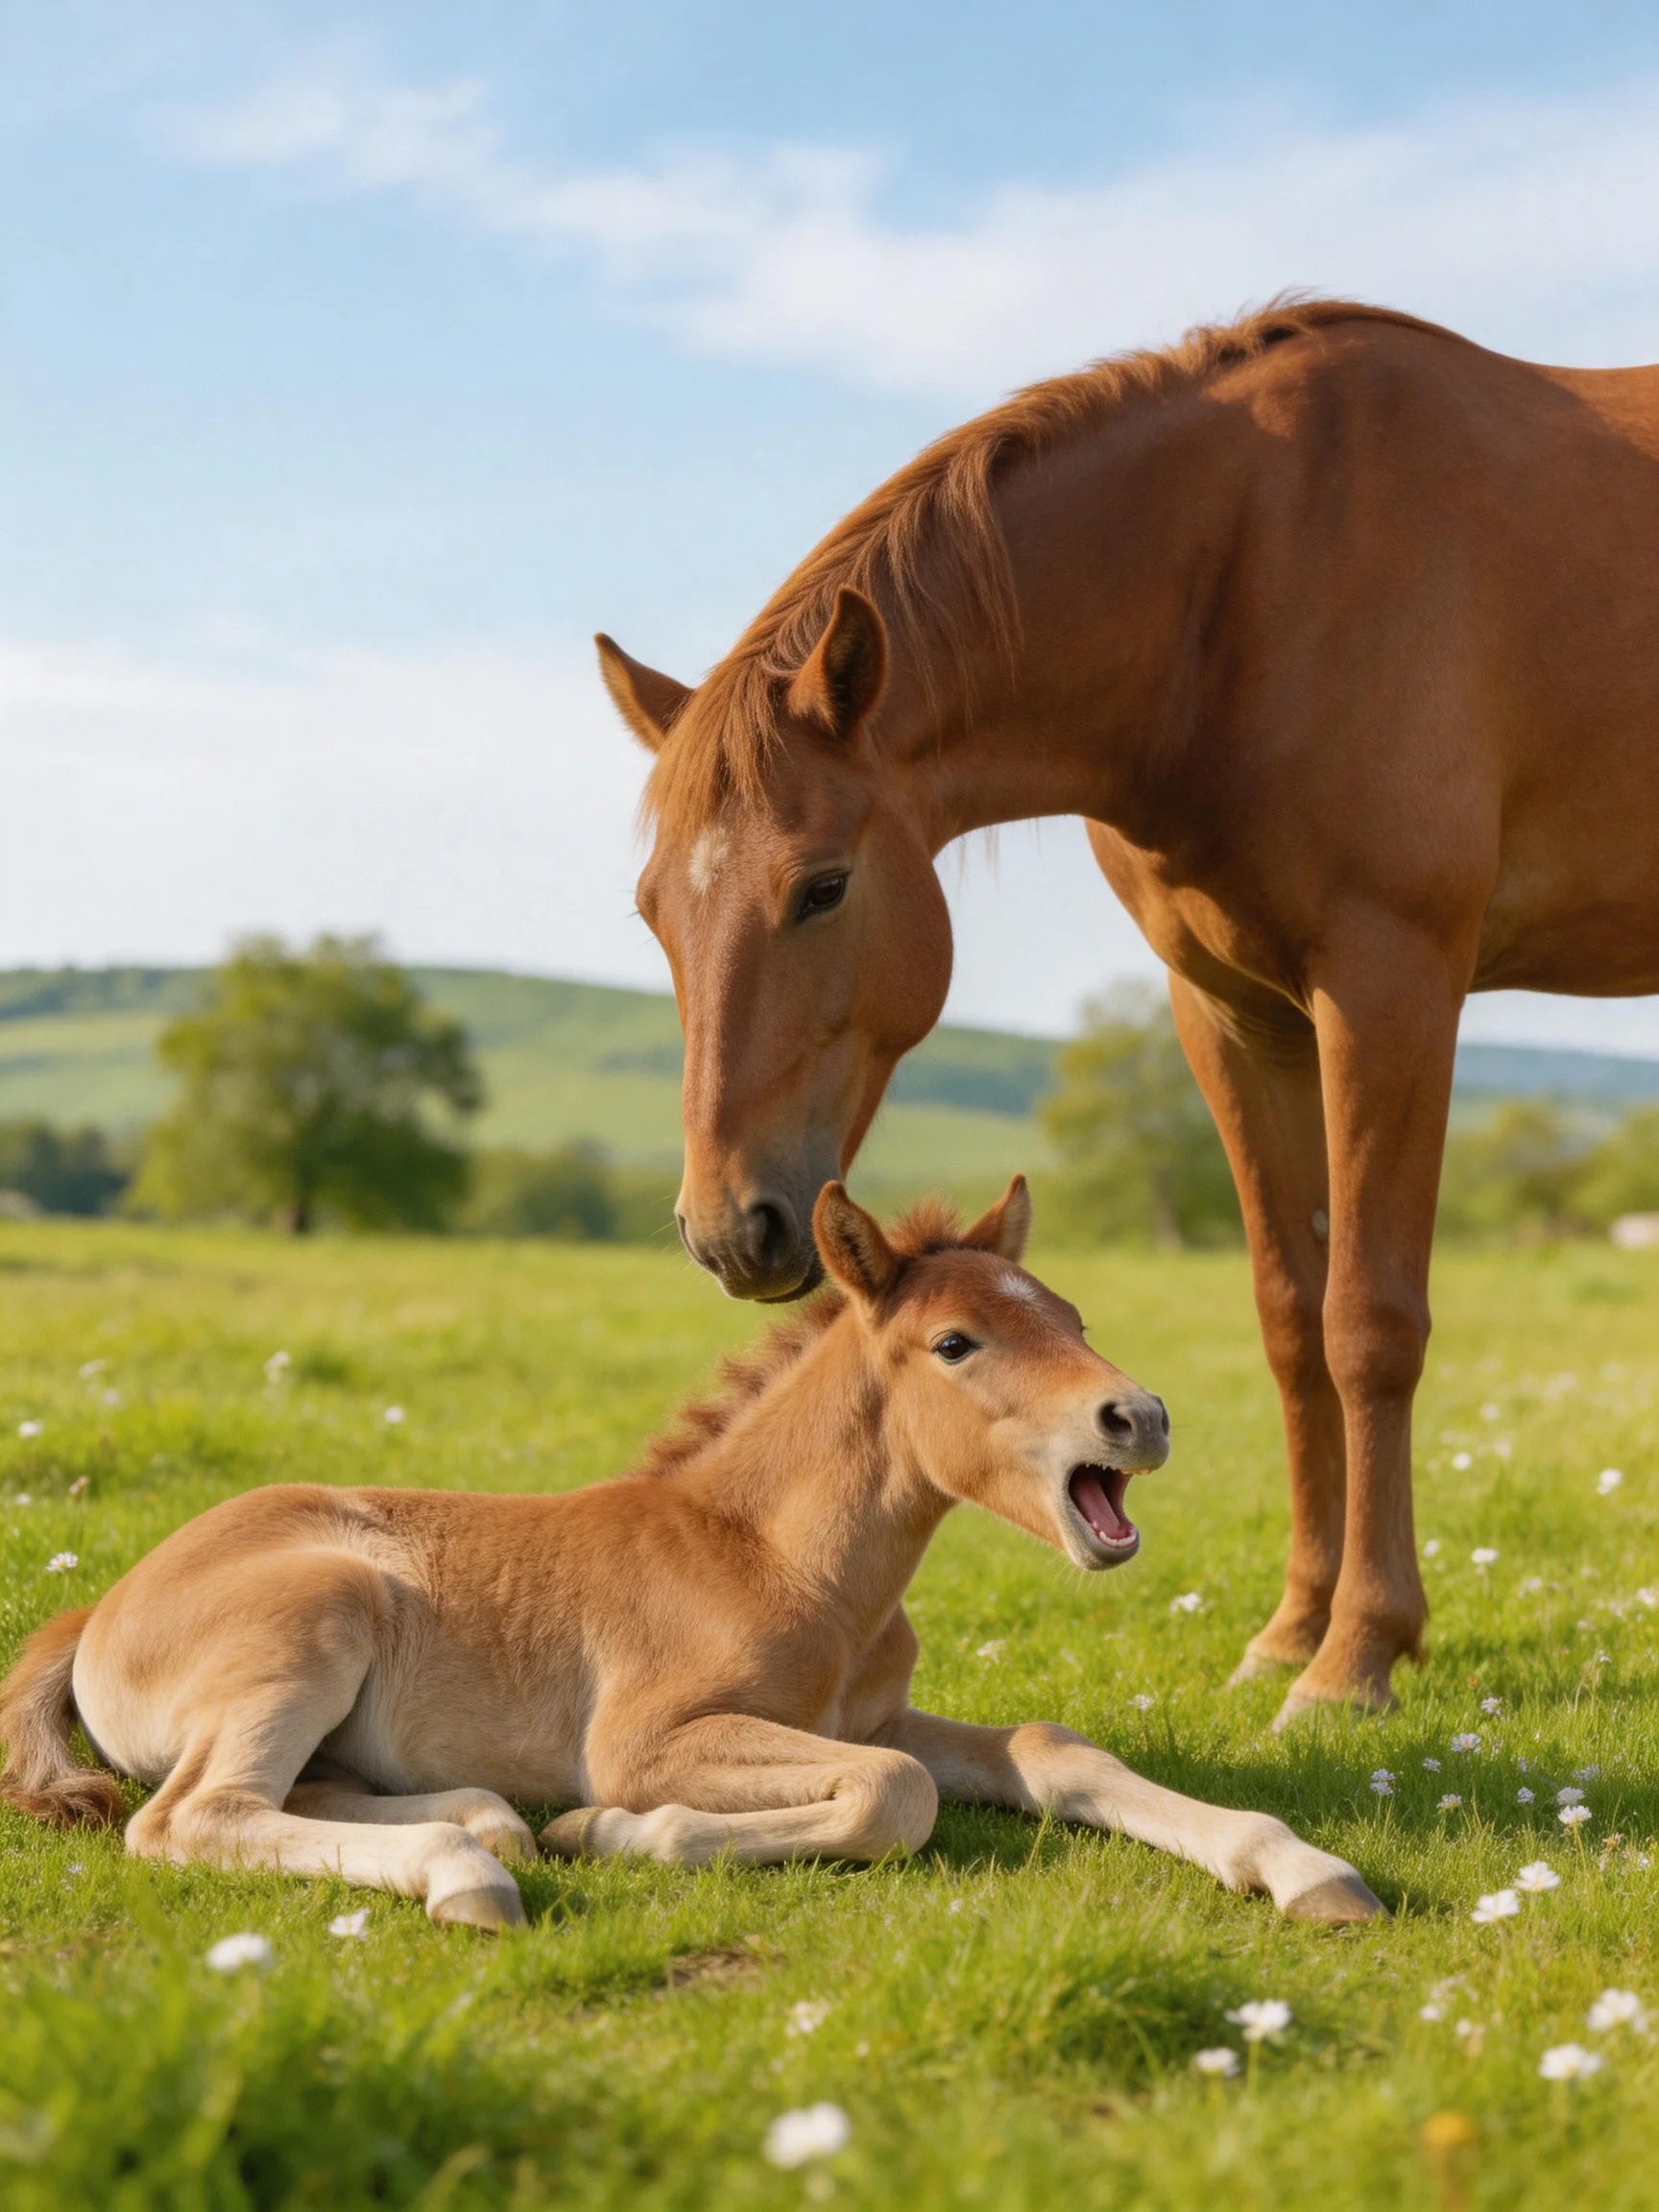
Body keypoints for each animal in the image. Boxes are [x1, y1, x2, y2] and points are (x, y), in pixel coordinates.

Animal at [0, 1180, 1381, 1929]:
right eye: (955, 1343)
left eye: (1073, 1318)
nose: (1136, 1417)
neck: (780, 1561)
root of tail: (97, 1610)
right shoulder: (654, 1737)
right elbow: (892, 1791)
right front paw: (619, 1831)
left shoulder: (876, 1711)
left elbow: (1051, 1751)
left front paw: (1300, 1865)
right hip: (320, 1613)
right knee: (194, 1817)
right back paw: (468, 1871)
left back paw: (488, 1822)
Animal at [598, 297, 1659, 1725]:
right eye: (654, 909)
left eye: (822, 886)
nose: (729, 1228)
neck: (1259, 566)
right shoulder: (1233, 1011)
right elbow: (1290, 1319)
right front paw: (1289, 1631)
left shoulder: (1391, 982)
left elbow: (1370, 1323)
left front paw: (1357, 1655)